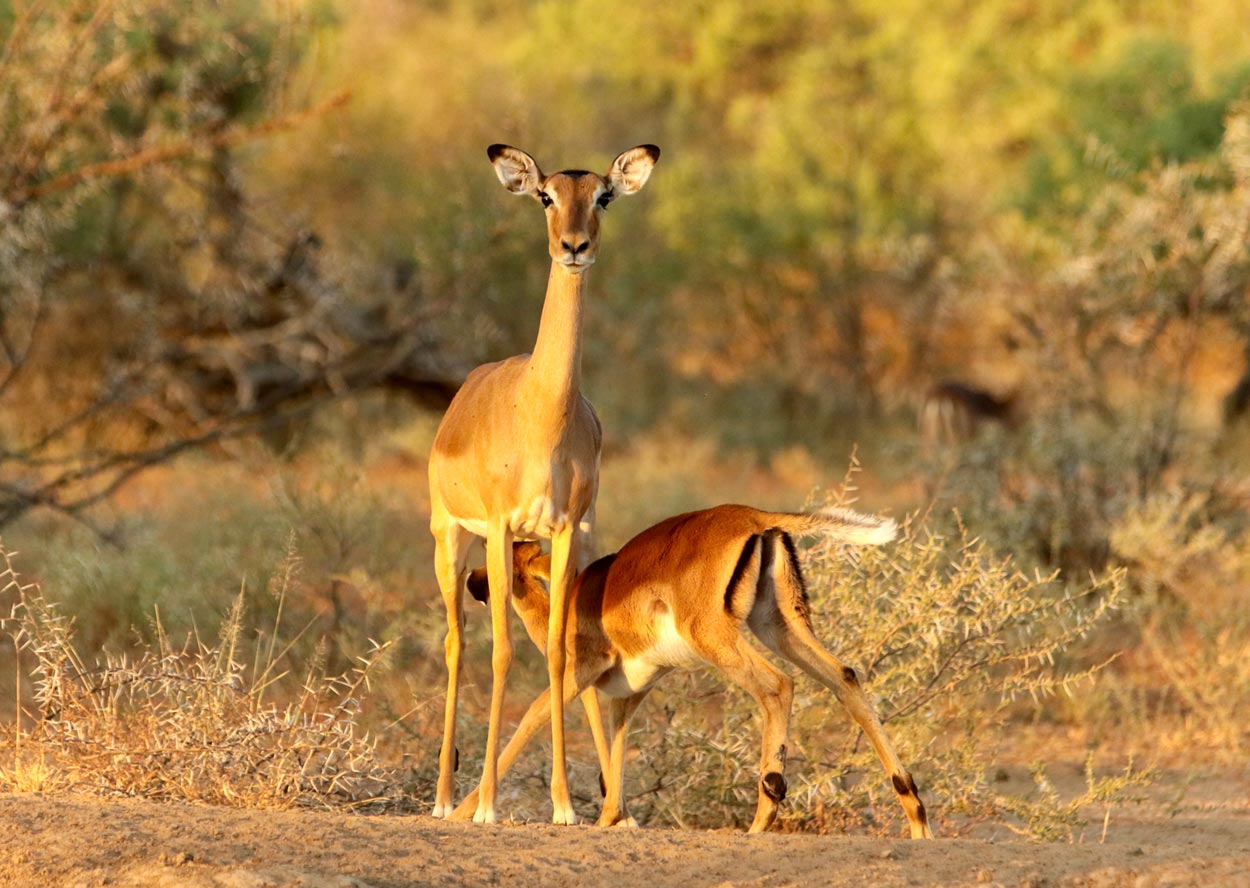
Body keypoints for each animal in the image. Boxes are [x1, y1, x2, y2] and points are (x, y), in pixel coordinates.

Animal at [427, 144, 659, 824]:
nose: (573, 247)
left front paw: (566, 805)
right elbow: (502, 651)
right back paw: (445, 798)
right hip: (452, 542)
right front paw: (487, 807)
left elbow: (557, 654)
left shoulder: (567, 532)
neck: (542, 411)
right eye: (544, 197)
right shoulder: (502, 528)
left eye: (602, 196)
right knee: (457, 644)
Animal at [452, 504, 933, 838]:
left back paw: (761, 820)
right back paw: (917, 819)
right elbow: (616, 751)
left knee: (778, 685)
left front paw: (463, 811)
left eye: (495, 552)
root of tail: (756, 518)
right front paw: (613, 819)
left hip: (718, 640)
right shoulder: (628, 695)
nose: (474, 583)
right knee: (845, 677)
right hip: (780, 628)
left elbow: (531, 719)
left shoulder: (579, 673)